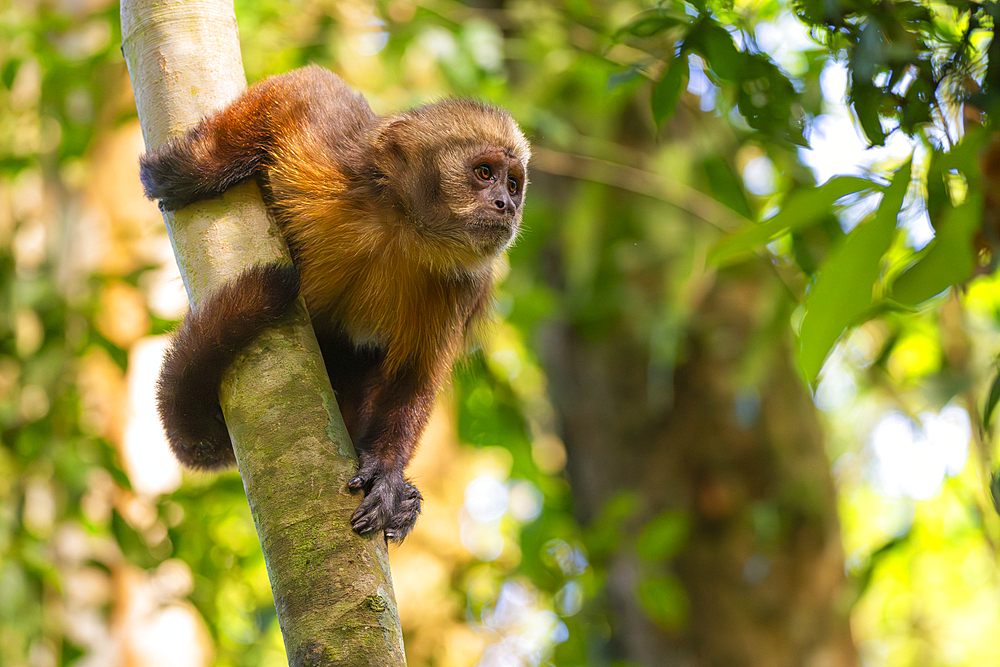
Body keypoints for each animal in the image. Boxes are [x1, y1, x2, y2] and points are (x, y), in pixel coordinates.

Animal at [143, 64, 532, 544]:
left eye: (512, 184)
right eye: (484, 173)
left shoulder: (464, 284)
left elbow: (414, 374)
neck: (400, 226)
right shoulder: (333, 155)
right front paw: (197, 168)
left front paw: (387, 473)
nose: (506, 205)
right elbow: (307, 87)